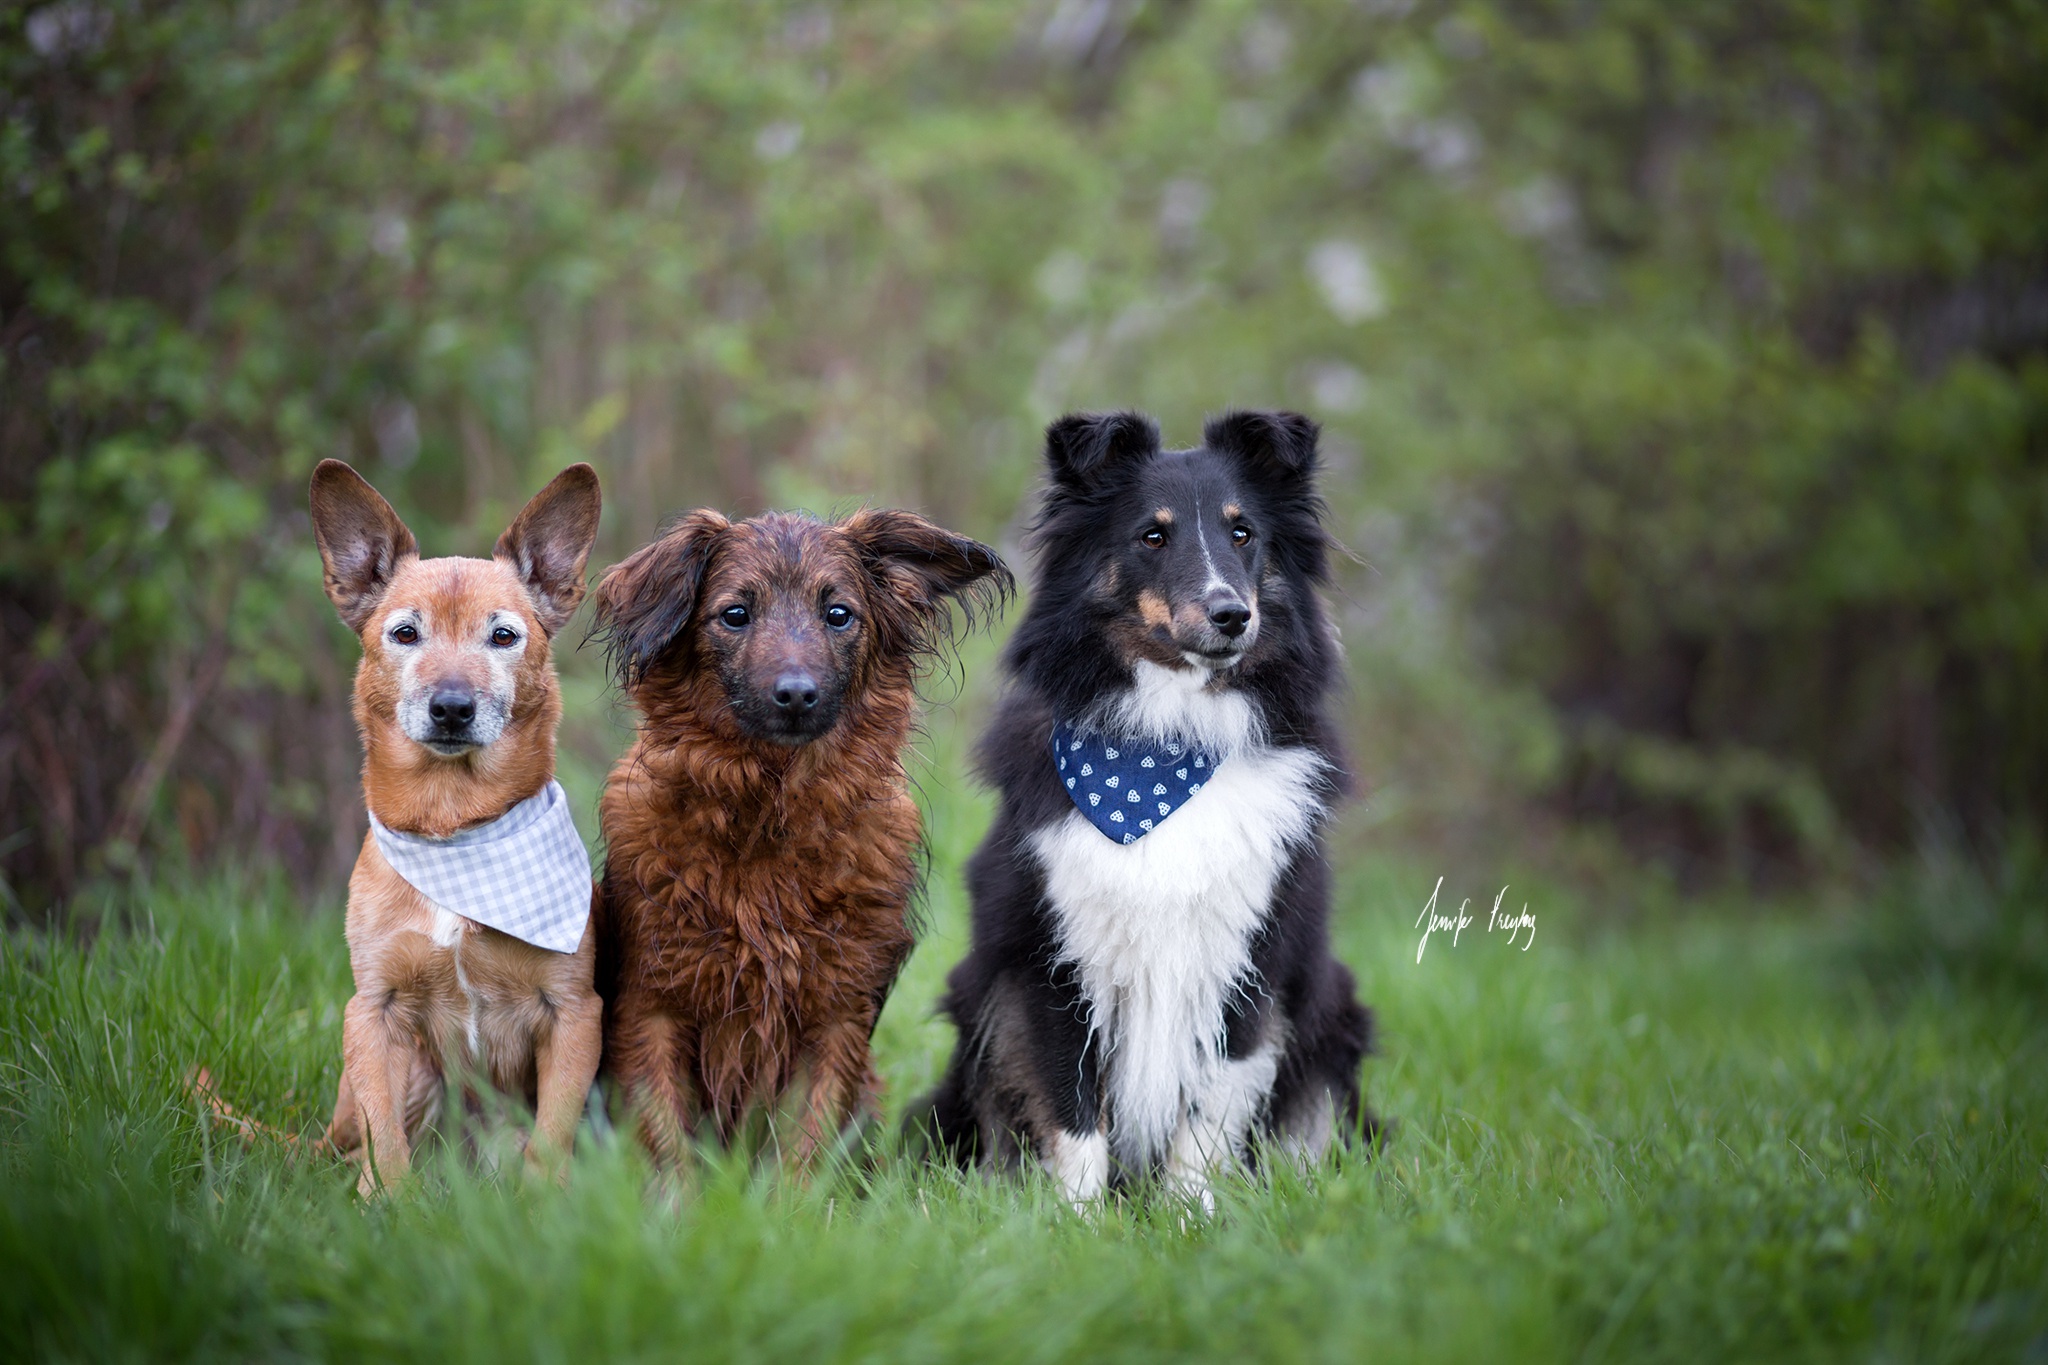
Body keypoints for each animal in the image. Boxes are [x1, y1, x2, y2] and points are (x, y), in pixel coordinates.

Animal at [310, 459, 604, 1194]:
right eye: (404, 633)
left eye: (503, 635)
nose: (450, 707)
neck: (453, 827)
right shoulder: (374, 1011)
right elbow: (386, 1143)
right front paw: (389, 1206)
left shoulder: (574, 1014)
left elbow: (548, 1141)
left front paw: (542, 1206)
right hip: (407, 1075)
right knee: (357, 1144)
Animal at [592, 507, 1010, 1167]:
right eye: (735, 614)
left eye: (838, 614)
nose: (795, 695)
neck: (769, 811)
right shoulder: (650, 1006)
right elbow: (669, 1152)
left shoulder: (836, 1014)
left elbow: (804, 1153)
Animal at [909, 410, 1378, 1207]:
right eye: (1152, 537)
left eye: (1243, 533)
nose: (1232, 615)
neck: (1166, 747)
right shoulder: (1047, 961)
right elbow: (1073, 1115)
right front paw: (1079, 1222)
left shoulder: (1251, 964)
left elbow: (1207, 1115)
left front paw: (1190, 1217)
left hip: (1332, 1013)